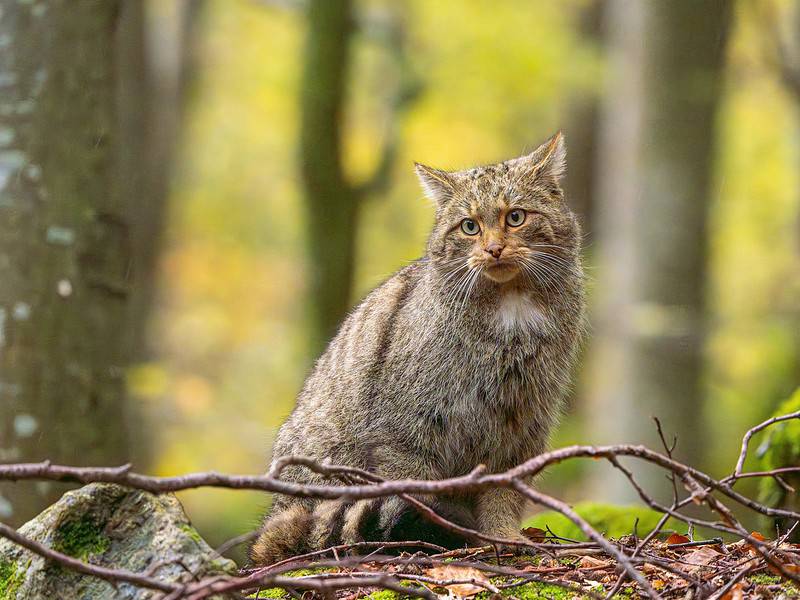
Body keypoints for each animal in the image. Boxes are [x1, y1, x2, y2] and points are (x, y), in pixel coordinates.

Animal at [253, 131, 584, 564]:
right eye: (469, 226)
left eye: (515, 217)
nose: (493, 249)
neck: (510, 310)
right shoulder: (408, 429)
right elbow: (410, 490)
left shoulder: (520, 423)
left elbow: (503, 493)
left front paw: (504, 537)